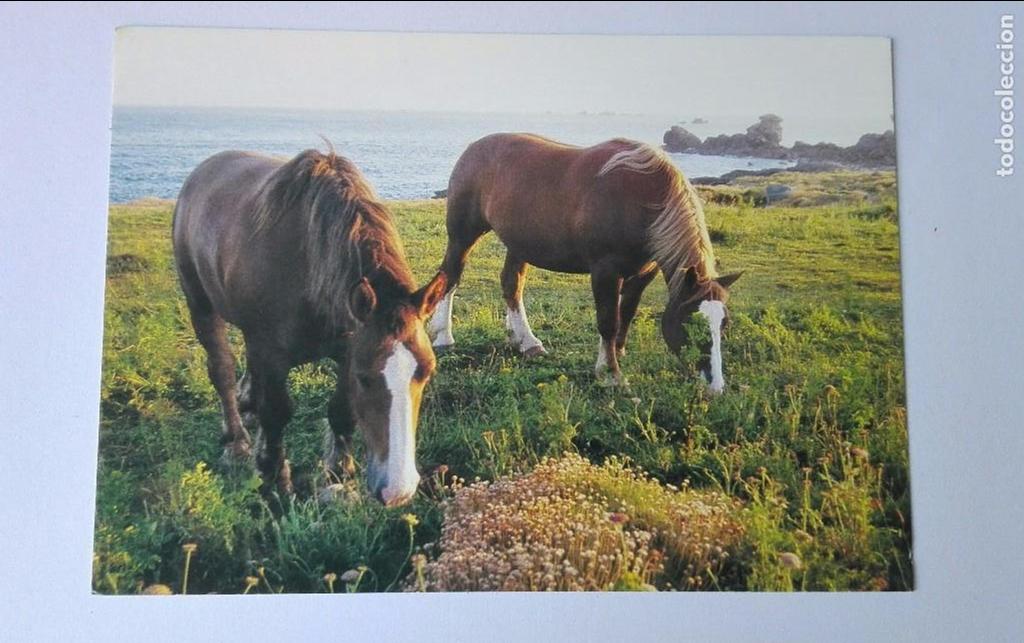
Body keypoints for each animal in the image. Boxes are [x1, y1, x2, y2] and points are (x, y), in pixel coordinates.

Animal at [173, 149, 447, 506]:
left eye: (426, 371)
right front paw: (275, 477)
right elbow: (276, 412)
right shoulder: (272, 353)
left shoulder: (347, 348)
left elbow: (341, 411)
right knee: (221, 371)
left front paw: (338, 471)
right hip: (201, 305)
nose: (398, 491)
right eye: (365, 378)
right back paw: (236, 440)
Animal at [426, 134, 741, 392]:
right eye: (692, 321)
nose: (716, 386)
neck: (640, 197)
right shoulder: (605, 271)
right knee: (451, 276)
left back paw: (527, 342)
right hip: (463, 235)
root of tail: (473, 148)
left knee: (511, 285)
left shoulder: (643, 273)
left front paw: (618, 352)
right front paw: (611, 373)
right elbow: (608, 321)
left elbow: (626, 313)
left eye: (723, 324)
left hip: (518, 244)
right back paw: (444, 336)